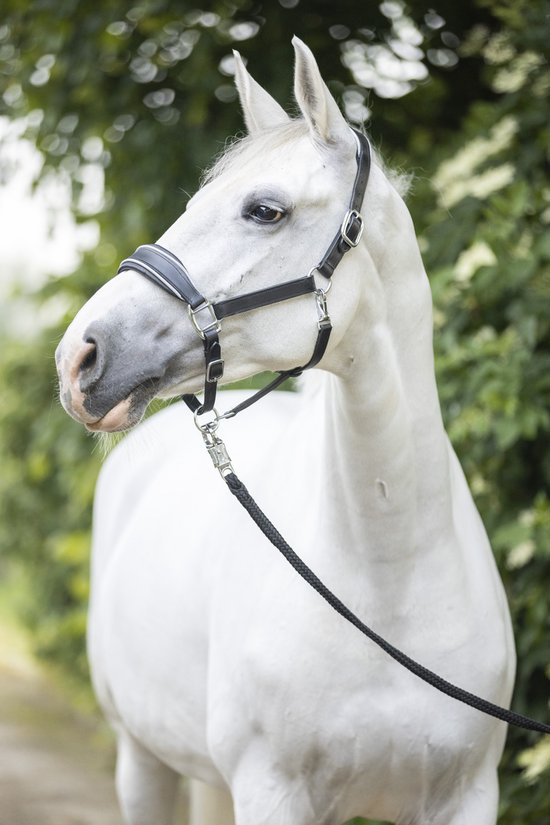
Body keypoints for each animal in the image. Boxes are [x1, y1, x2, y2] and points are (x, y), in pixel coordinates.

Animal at [55, 37, 516, 825]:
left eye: (264, 210)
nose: (78, 357)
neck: (389, 583)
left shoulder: (466, 797)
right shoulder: (272, 791)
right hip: (142, 758)